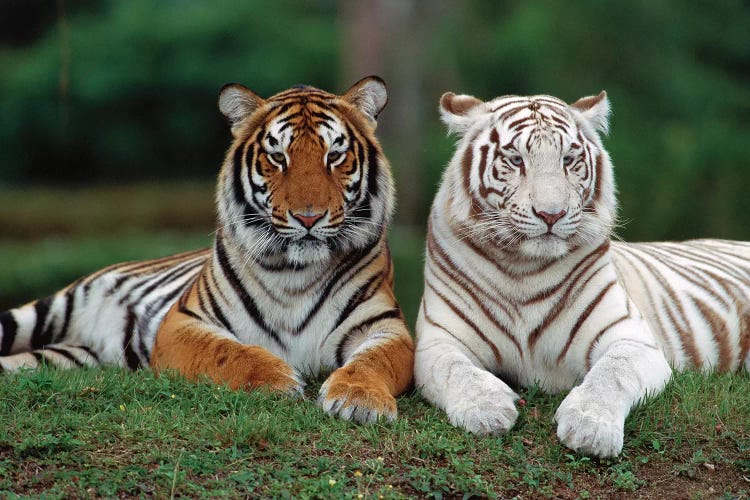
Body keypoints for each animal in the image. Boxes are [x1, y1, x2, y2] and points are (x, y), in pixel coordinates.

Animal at [418, 89, 750, 458]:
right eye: (516, 160)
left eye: (568, 160)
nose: (551, 214)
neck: (523, 269)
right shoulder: (438, 340)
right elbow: (455, 370)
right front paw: (486, 409)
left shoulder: (631, 337)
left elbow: (612, 373)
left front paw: (590, 428)